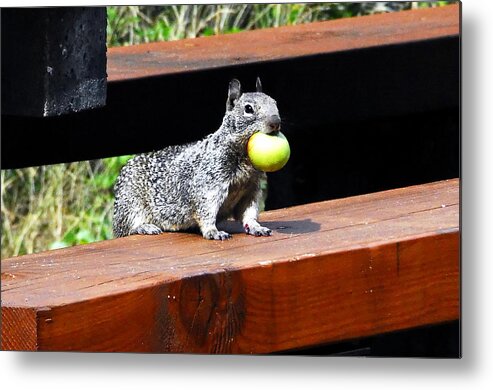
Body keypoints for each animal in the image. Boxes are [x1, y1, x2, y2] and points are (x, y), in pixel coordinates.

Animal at [112, 77, 280, 239]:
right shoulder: (209, 184)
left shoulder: (250, 190)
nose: (276, 122)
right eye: (248, 109)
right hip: (130, 203)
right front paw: (213, 231)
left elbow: (248, 213)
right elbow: (206, 210)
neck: (245, 159)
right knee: (128, 227)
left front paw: (257, 227)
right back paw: (145, 227)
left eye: (275, 102)